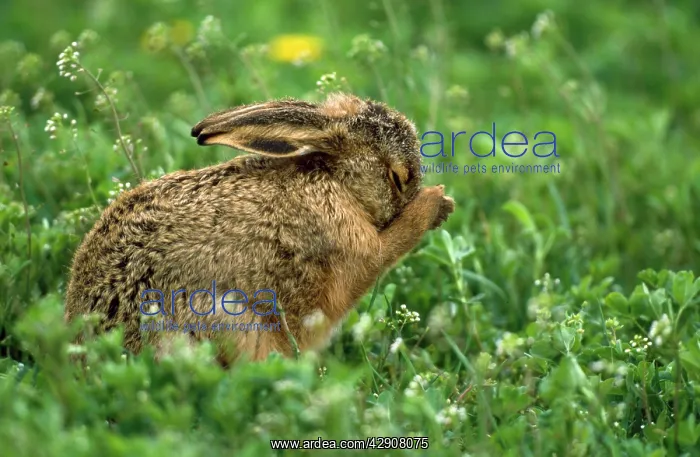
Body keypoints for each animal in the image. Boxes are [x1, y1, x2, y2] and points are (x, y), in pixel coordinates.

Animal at [64, 92, 455, 365]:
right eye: (398, 177)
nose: (434, 199)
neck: (334, 181)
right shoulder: (350, 250)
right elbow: (387, 248)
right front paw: (436, 202)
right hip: (224, 317)